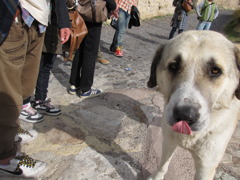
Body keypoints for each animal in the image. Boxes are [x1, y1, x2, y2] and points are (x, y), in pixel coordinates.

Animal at [147, 30, 239, 179]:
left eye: (215, 70)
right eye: (174, 66)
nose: (185, 115)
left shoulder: (206, 167)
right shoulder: (168, 142)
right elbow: (163, 165)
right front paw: (157, 177)